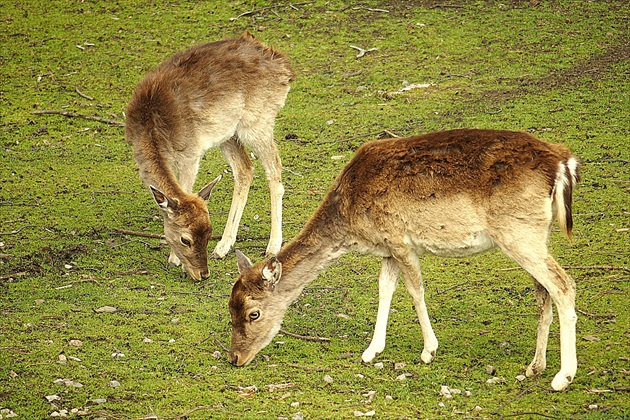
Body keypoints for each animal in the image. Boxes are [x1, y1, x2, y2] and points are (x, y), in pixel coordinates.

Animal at [124, 29, 296, 278]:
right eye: (186, 239)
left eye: (207, 232)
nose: (203, 274)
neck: (151, 125)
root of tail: (286, 69)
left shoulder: (190, 153)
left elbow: (184, 189)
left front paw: (173, 259)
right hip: (229, 134)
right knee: (245, 168)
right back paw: (223, 247)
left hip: (258, 122)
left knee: (274, 167)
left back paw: (273, 245)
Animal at [228, 128, 584, 390]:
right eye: (230, 308)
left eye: (253, 313)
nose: (234, 358)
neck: (350, 220)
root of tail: (562, 162)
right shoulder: (388, 249)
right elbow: (385, 288)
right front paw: (371, 351)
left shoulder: (400, 240)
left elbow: (415, 290)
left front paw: (428, 351)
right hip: (538, 234)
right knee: (543, 293)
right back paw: (535, 367)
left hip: (518, 233)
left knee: (563, 285)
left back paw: (562, 377)